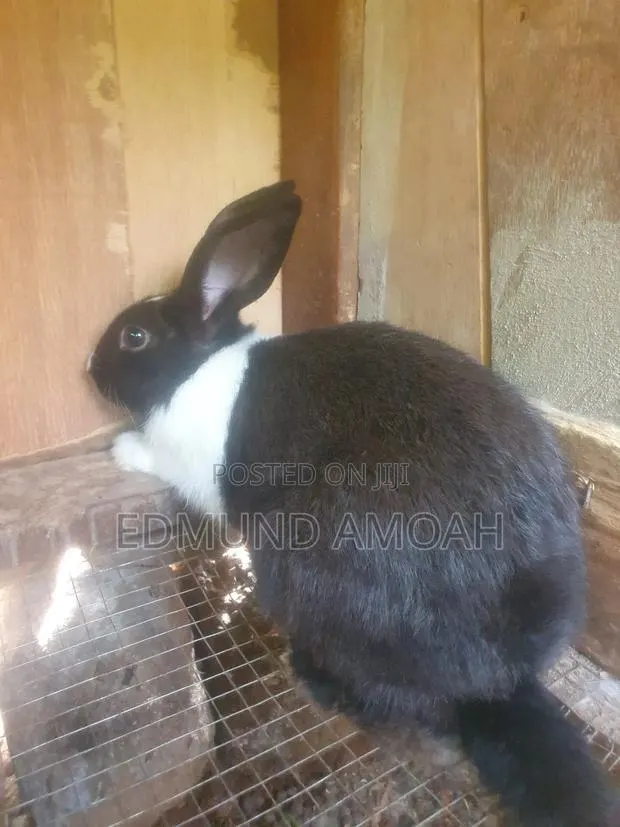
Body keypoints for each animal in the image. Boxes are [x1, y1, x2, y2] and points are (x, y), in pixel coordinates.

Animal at [87, 180, 619, 827]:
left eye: (135, 337)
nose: (89, 369)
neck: (196, 367)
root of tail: (499, 684)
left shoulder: (183, 459)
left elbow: (154, 457)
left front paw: (120, 449)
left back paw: (314, 677)